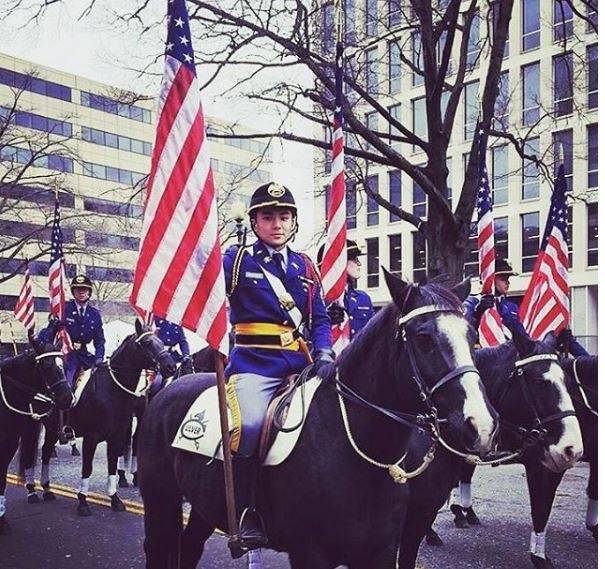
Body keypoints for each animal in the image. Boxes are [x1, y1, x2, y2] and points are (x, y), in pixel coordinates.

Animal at [68, 320, 177, 516]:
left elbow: (112, 463)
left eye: (161, 341)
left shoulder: (117, 434)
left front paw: (115, 499)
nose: (171, 367)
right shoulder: (91, 437)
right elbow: (87, 468)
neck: (111, 390)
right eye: (147, 343)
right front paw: (82, 502)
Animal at [139, 272, 498, 568]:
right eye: (424, 338)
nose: (481, 425)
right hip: (160, 501)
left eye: (472, 336)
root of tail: (168, 390)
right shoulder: (310, 553)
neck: (358, 450)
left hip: (202, 506)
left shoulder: (380, 552)